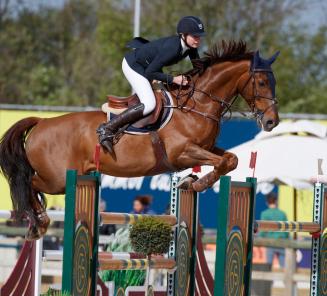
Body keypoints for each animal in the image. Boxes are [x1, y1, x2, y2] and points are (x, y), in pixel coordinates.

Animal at [0, 41, 282, 240]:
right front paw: (196, 184)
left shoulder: (206, 147)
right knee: (28, 182)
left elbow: (230, 159)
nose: (272, 122)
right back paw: (39, 223)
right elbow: (223, 163)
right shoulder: (181, 152)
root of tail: (42, 122)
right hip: (57, 179)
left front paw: (190, 183)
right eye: (261, 82)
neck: (197, 104)